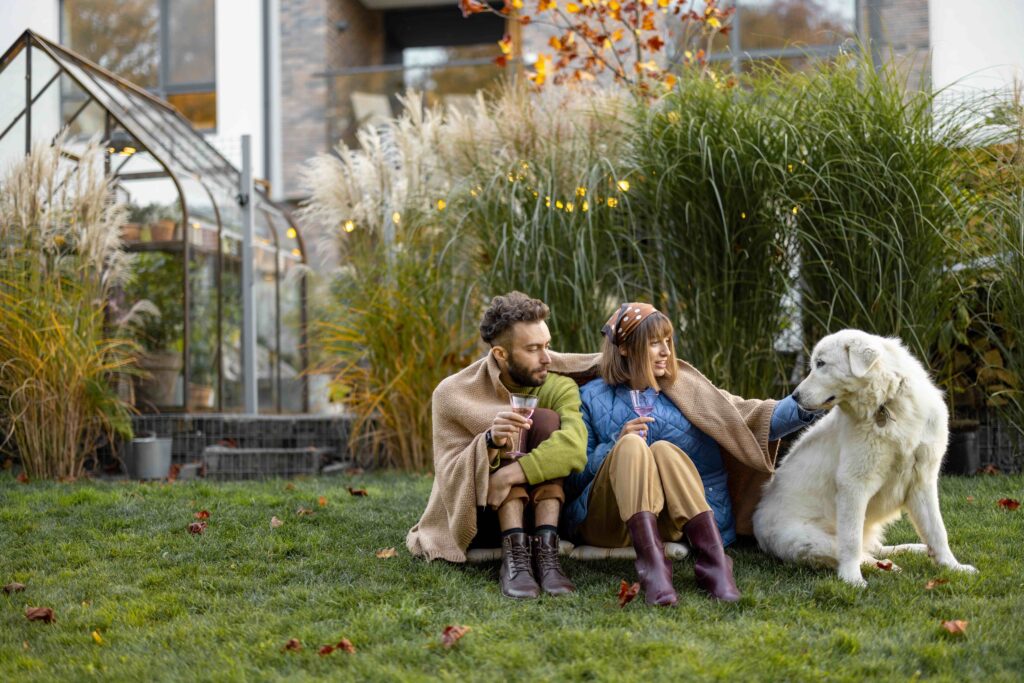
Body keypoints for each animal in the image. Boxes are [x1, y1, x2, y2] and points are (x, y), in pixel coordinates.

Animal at [753, 327, 974, 585]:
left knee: (873, 547)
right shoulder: (854, 483)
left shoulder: (922, 481)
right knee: (858, 552)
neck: (887, 404)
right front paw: (852, 581)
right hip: (810, 540)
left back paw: (911, 550)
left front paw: (953, 567)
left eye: (821, 364)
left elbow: (937, 531)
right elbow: (851, 541)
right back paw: (888, 566)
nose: (795, 396)